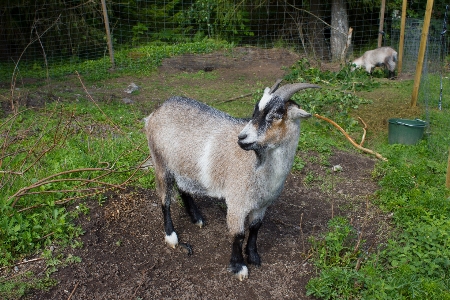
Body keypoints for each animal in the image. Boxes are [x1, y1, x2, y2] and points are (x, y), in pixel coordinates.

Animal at [144, 80, 320, 282]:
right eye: (255, 111)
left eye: (276, 114)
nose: (242, 137)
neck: (260, 166)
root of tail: (157, 110)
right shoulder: (237, 201)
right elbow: (238, 234)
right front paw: (239, 267)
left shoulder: (262, 204)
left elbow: (255, 228)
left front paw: (253, 256)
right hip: (160, 161)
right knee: (164, 199)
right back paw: (171, 236)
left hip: (183, 165)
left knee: (183, 188)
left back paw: (196, 218)